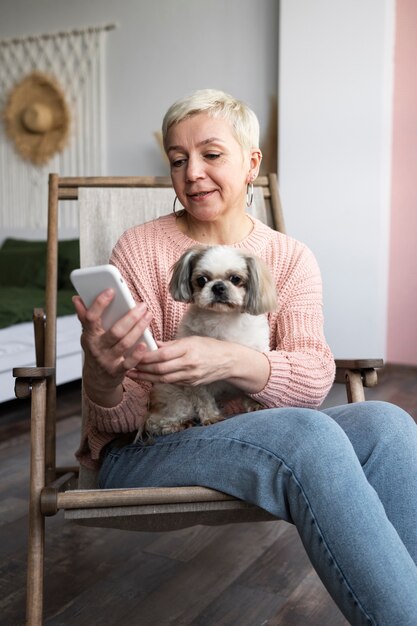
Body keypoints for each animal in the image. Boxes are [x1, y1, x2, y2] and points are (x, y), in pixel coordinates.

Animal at [143, 244, 276, 434]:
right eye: (202, 280)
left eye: (235, 279)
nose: (218, 287)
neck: (222, 318)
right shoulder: (194, 376)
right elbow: (203, 398)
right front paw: (211, 417)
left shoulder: (257, 353)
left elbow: (250, 388)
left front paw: (255, 404)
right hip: (176, 397)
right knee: (156, 420)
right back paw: (176, 424)